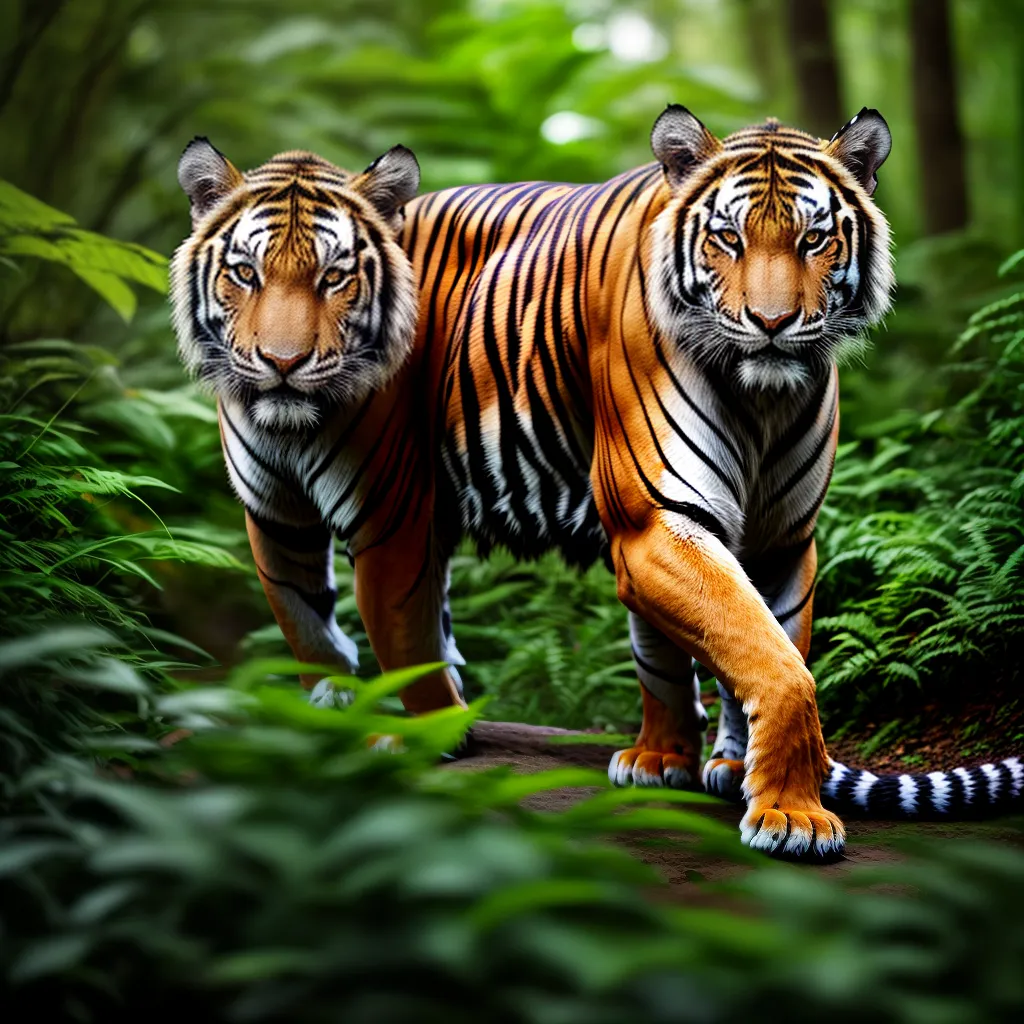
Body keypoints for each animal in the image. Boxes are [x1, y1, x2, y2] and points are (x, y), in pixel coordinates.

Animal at [170, 109, 1023, 860]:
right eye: (728, 236)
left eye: (814, 238)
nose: (773, 324)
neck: (765, 397)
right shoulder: (322, 518)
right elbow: (319, 625)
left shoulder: (781, 537)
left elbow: (772, 645)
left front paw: (776, 796)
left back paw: (673, 759)